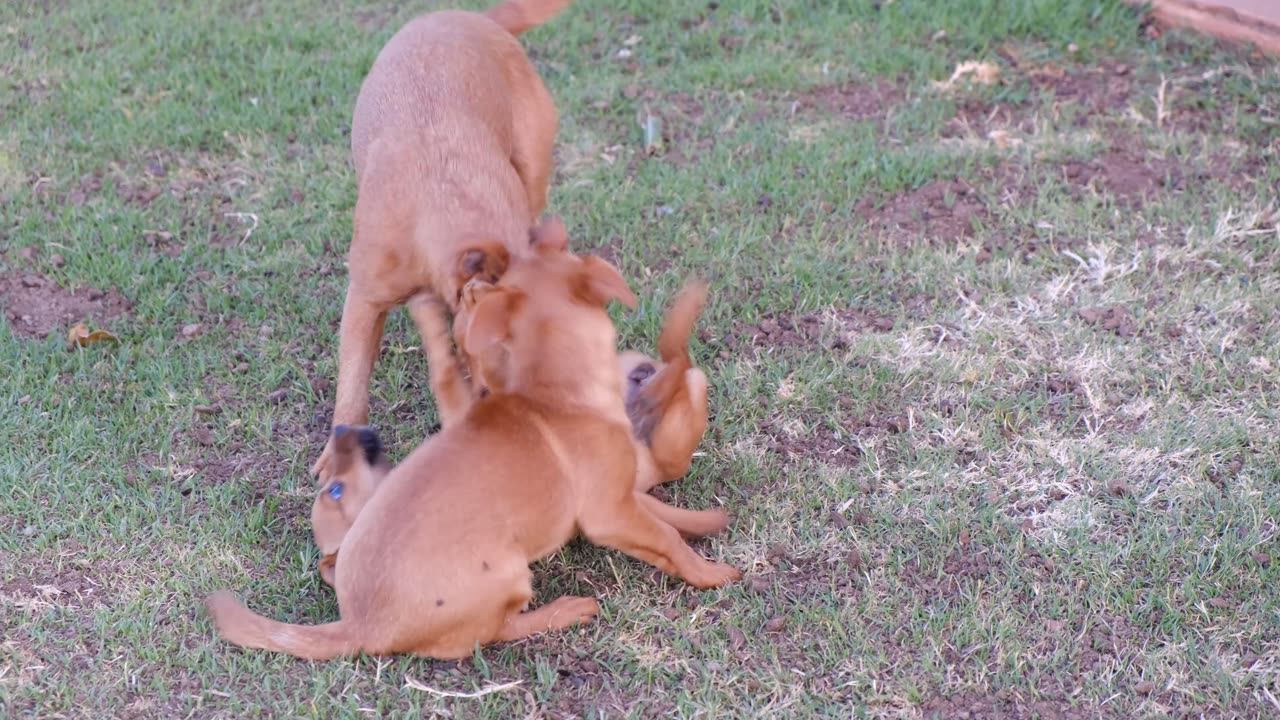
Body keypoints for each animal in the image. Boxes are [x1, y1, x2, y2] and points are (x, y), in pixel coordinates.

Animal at [209, 240, 742, 655]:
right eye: (334, 493)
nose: (344, 431)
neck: (555, 393)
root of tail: (359, 626)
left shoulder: (623, 493)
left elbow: (669, 516)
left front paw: (708, 522)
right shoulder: (609, 513)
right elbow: (666, 539)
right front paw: (711, 574)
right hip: (508, 572)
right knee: (496, 632)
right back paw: (568, 609)